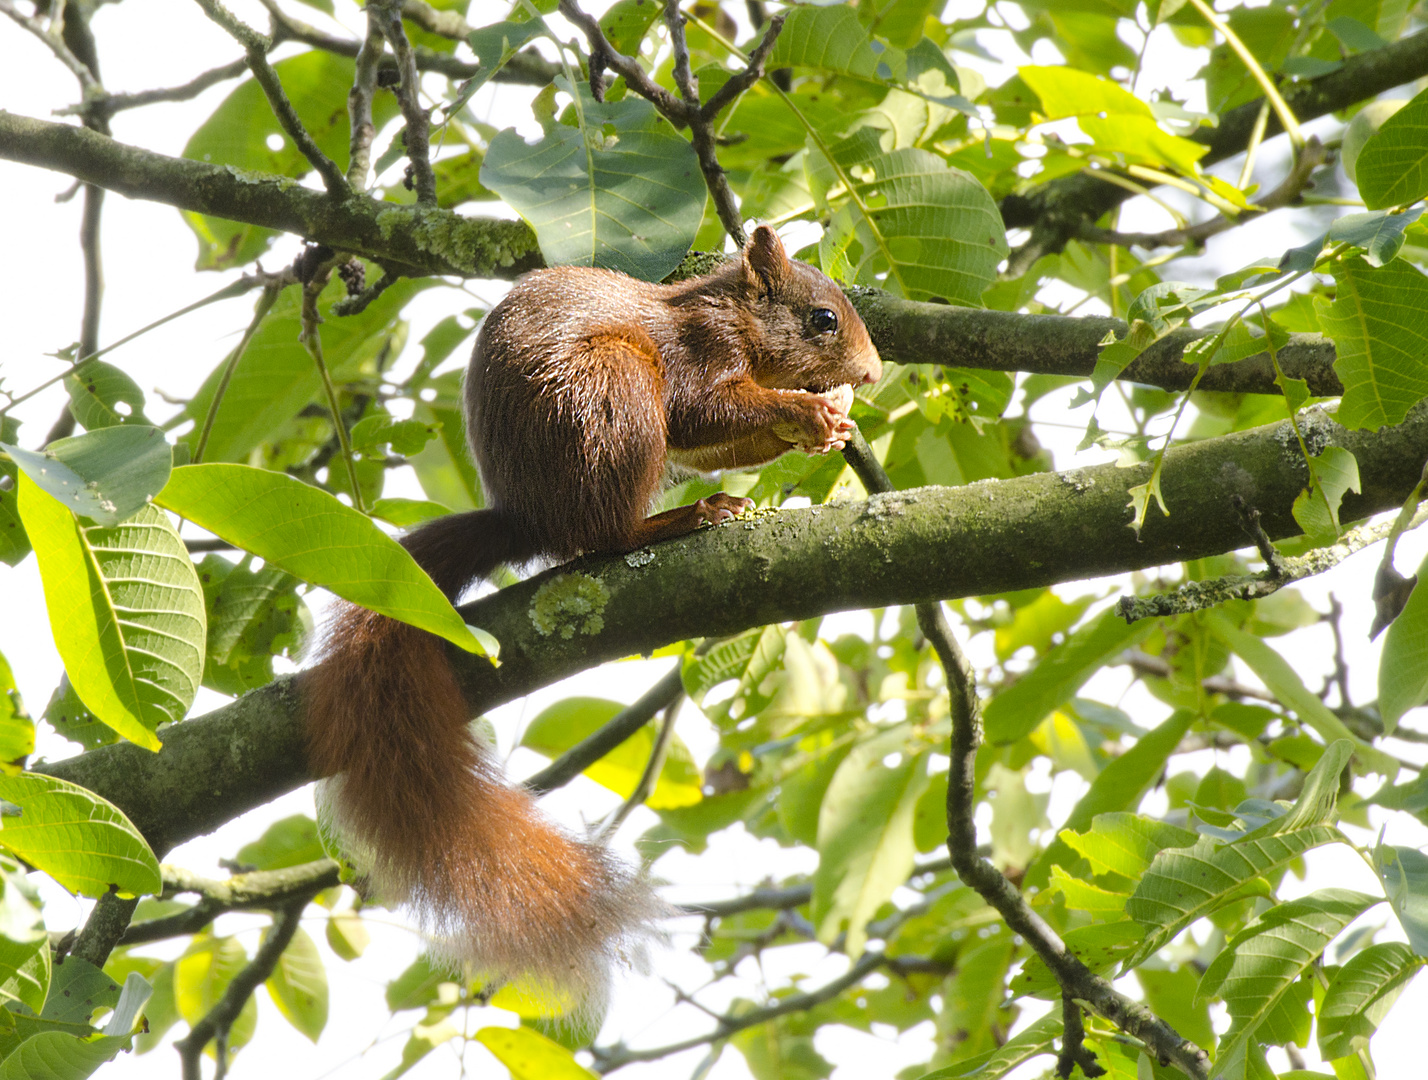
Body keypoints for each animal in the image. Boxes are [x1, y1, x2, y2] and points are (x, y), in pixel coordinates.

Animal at [302, 227, 879, 1011]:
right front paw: (808, 414)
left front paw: (827, 428)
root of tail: (527, 518)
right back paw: (676, 520)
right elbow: (703, 410)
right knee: (602, 536)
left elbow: (711, 439)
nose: (872, 374)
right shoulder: (698, 351)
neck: (735, 318)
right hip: (611, 394)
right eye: (822, 320)